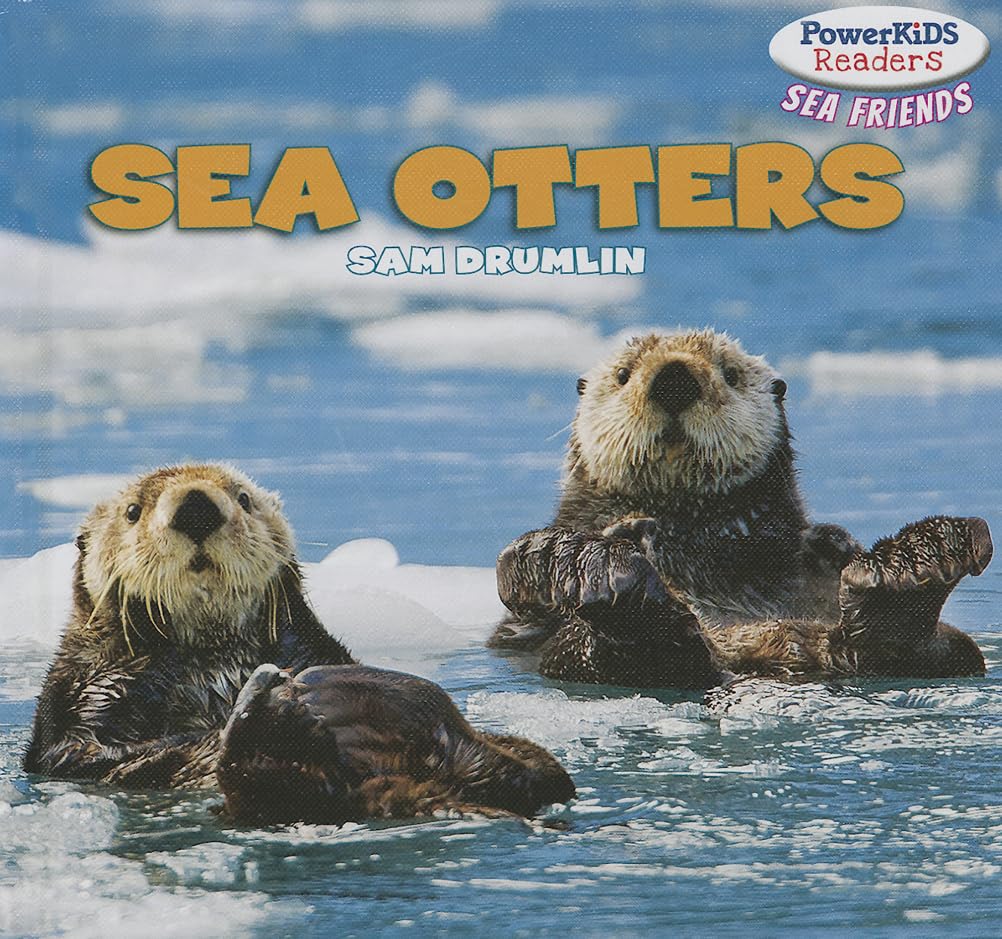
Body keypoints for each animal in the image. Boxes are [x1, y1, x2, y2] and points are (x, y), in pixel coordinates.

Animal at [24, 464, 574, 822]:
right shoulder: (87, 699)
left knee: (533, 771)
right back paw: (282, 718)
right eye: (134, 511)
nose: (197, 506)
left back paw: (361, 697)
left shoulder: (310, 649)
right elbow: (102, 755)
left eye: (242, 497)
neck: (212, 661)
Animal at [490, 330, 991, 686]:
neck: (691, 529)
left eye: (729, 373)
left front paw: (833, 542)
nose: (674, 379)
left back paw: (917, 563)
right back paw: (591, 570)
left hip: (943, 648)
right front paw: (604, 538)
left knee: (931, 649)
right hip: (580, 653)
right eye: (623, 374)